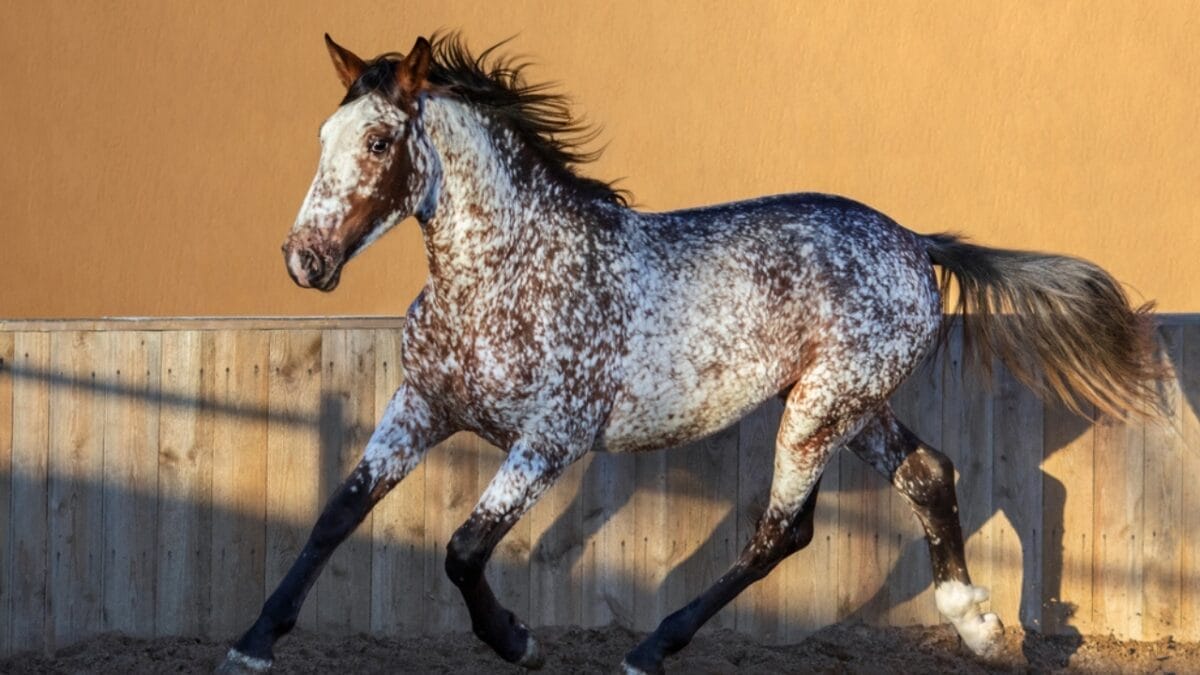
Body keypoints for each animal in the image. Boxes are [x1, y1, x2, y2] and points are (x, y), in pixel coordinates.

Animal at [218, 33, 1161, 674]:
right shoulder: (422, 405)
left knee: (784, 529)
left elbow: (462, 547)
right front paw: (253, 641)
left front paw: (518, 639)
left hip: (820, 407)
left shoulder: (551, 439)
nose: (305, 261)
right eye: (322, 138)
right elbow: (339, 510)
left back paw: (652, 646)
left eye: (379, 143)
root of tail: (914, 242)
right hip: (855, 404)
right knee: (928, 474)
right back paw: (979, 627)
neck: (504, 273)